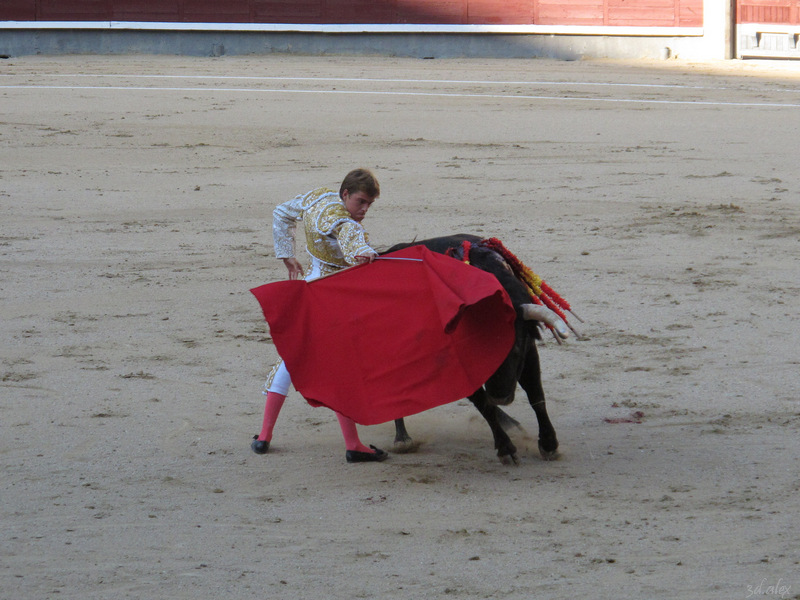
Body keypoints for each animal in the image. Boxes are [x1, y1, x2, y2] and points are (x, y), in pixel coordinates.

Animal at [382, 234, 560, 464]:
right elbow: (483, 403)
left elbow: (535, 394)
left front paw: (548, 444)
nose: (501, 397)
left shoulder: (528, 349)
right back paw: (402, 439)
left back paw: (511, 423)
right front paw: (505, 448)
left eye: (516, 349)